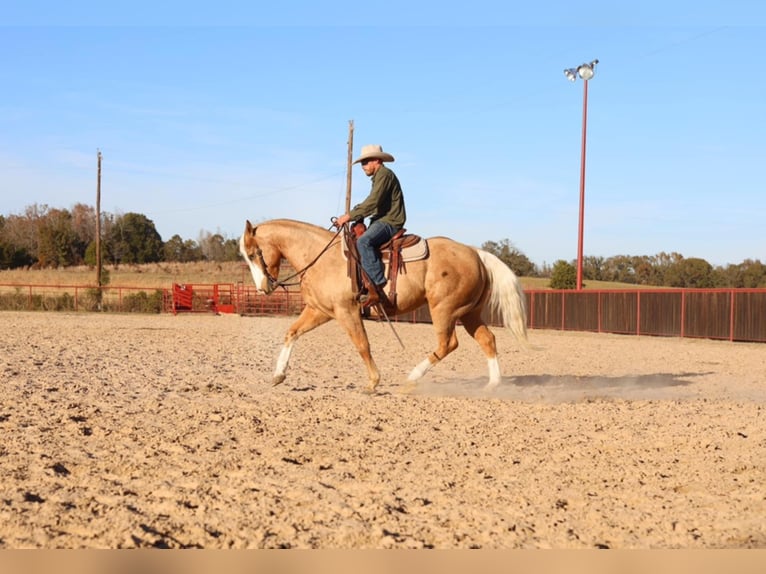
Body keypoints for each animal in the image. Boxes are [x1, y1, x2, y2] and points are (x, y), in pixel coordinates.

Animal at [240, 218, 528, 394]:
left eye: (253, 254)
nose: (262, 288)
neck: (320, 257)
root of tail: (475, 253)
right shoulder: (319, 311)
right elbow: (291, 333)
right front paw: (278, 375)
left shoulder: (347, 312)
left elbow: (362, 345)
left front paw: (373, 382)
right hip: (469, 313)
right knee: (487, 339)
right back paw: (492, 384)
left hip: (444, 310)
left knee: (448, 343)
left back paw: (411, 378)